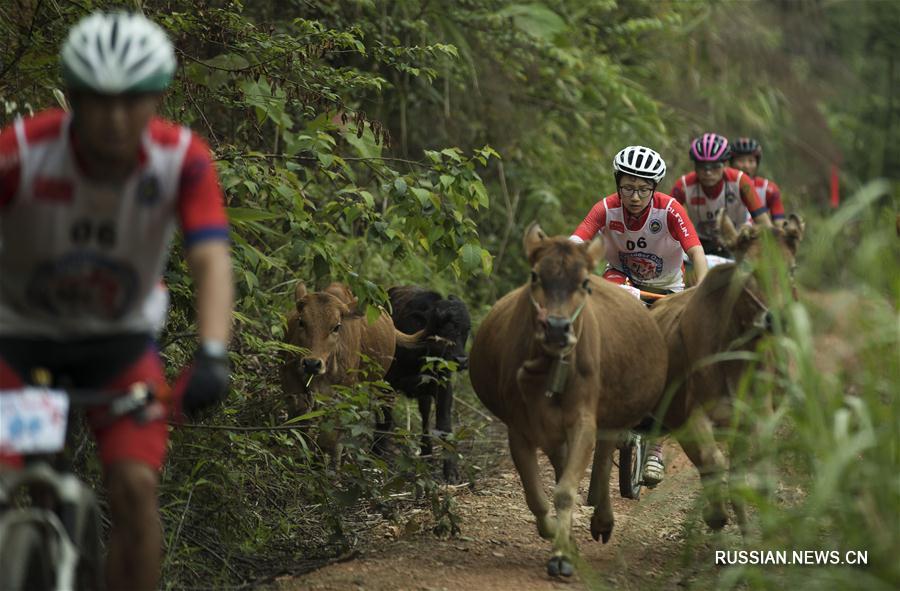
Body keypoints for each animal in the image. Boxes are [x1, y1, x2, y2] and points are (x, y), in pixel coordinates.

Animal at [278, 284, 422, 462]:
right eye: (301, 322)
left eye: (336, 327)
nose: (312, 364)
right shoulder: (288, 376)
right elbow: (299, 417)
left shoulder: (344, 394)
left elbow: (330, 436)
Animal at [384, 286, 474, 486]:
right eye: (441, 328)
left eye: (466, 329)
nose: (461, 361)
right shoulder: (387, 384)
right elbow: (384, 421)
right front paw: (377, 455)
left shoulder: (444, 386)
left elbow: (444, 424)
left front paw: (451, 472)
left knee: (425, 416)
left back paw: (427, 452)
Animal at [472, 223, 668, 580]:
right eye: (535, 276)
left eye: (584, 283)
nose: (556, 327)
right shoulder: (519, 429)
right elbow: (537, 496)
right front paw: (558, 537)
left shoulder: (584, 421)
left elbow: (564, 492)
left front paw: (562, 554)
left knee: (602, 460)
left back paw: (603, 519)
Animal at [652, 212, 804, 532]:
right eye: (747, 267)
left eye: (792, 268)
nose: (776, 319)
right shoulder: (691, 418)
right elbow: (713, 462)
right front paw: (715, 515)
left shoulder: (758, 416)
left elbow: (753, 479)